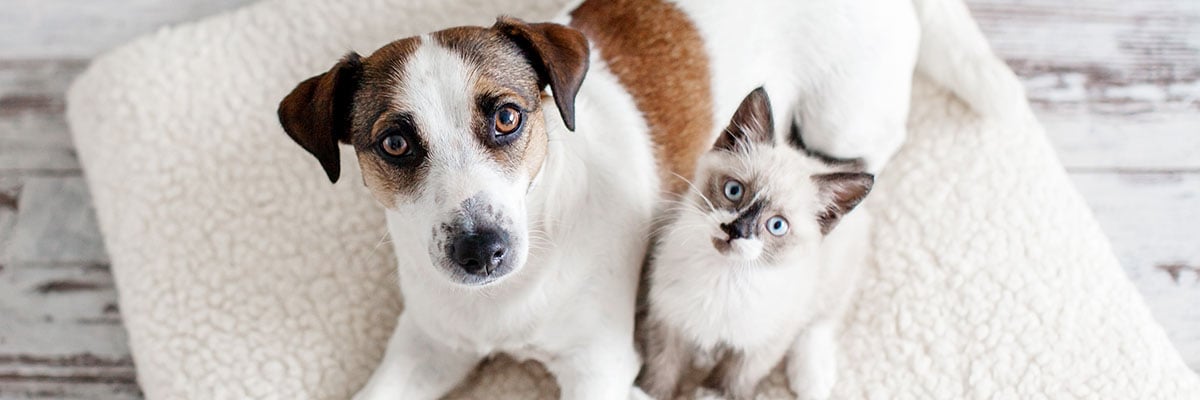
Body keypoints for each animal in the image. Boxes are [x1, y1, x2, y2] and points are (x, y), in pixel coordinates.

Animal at [638, 88, 873, 398]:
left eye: (777, 225)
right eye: (733, 190)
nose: (735, 229)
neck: (724, 275)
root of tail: (817, 161)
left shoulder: (763, 343)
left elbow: (734, 378)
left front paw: (711, 394)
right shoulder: (668, 318)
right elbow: (662, 367)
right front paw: (645, 392)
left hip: (834, 275)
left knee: (822, 320)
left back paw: (813, 378)